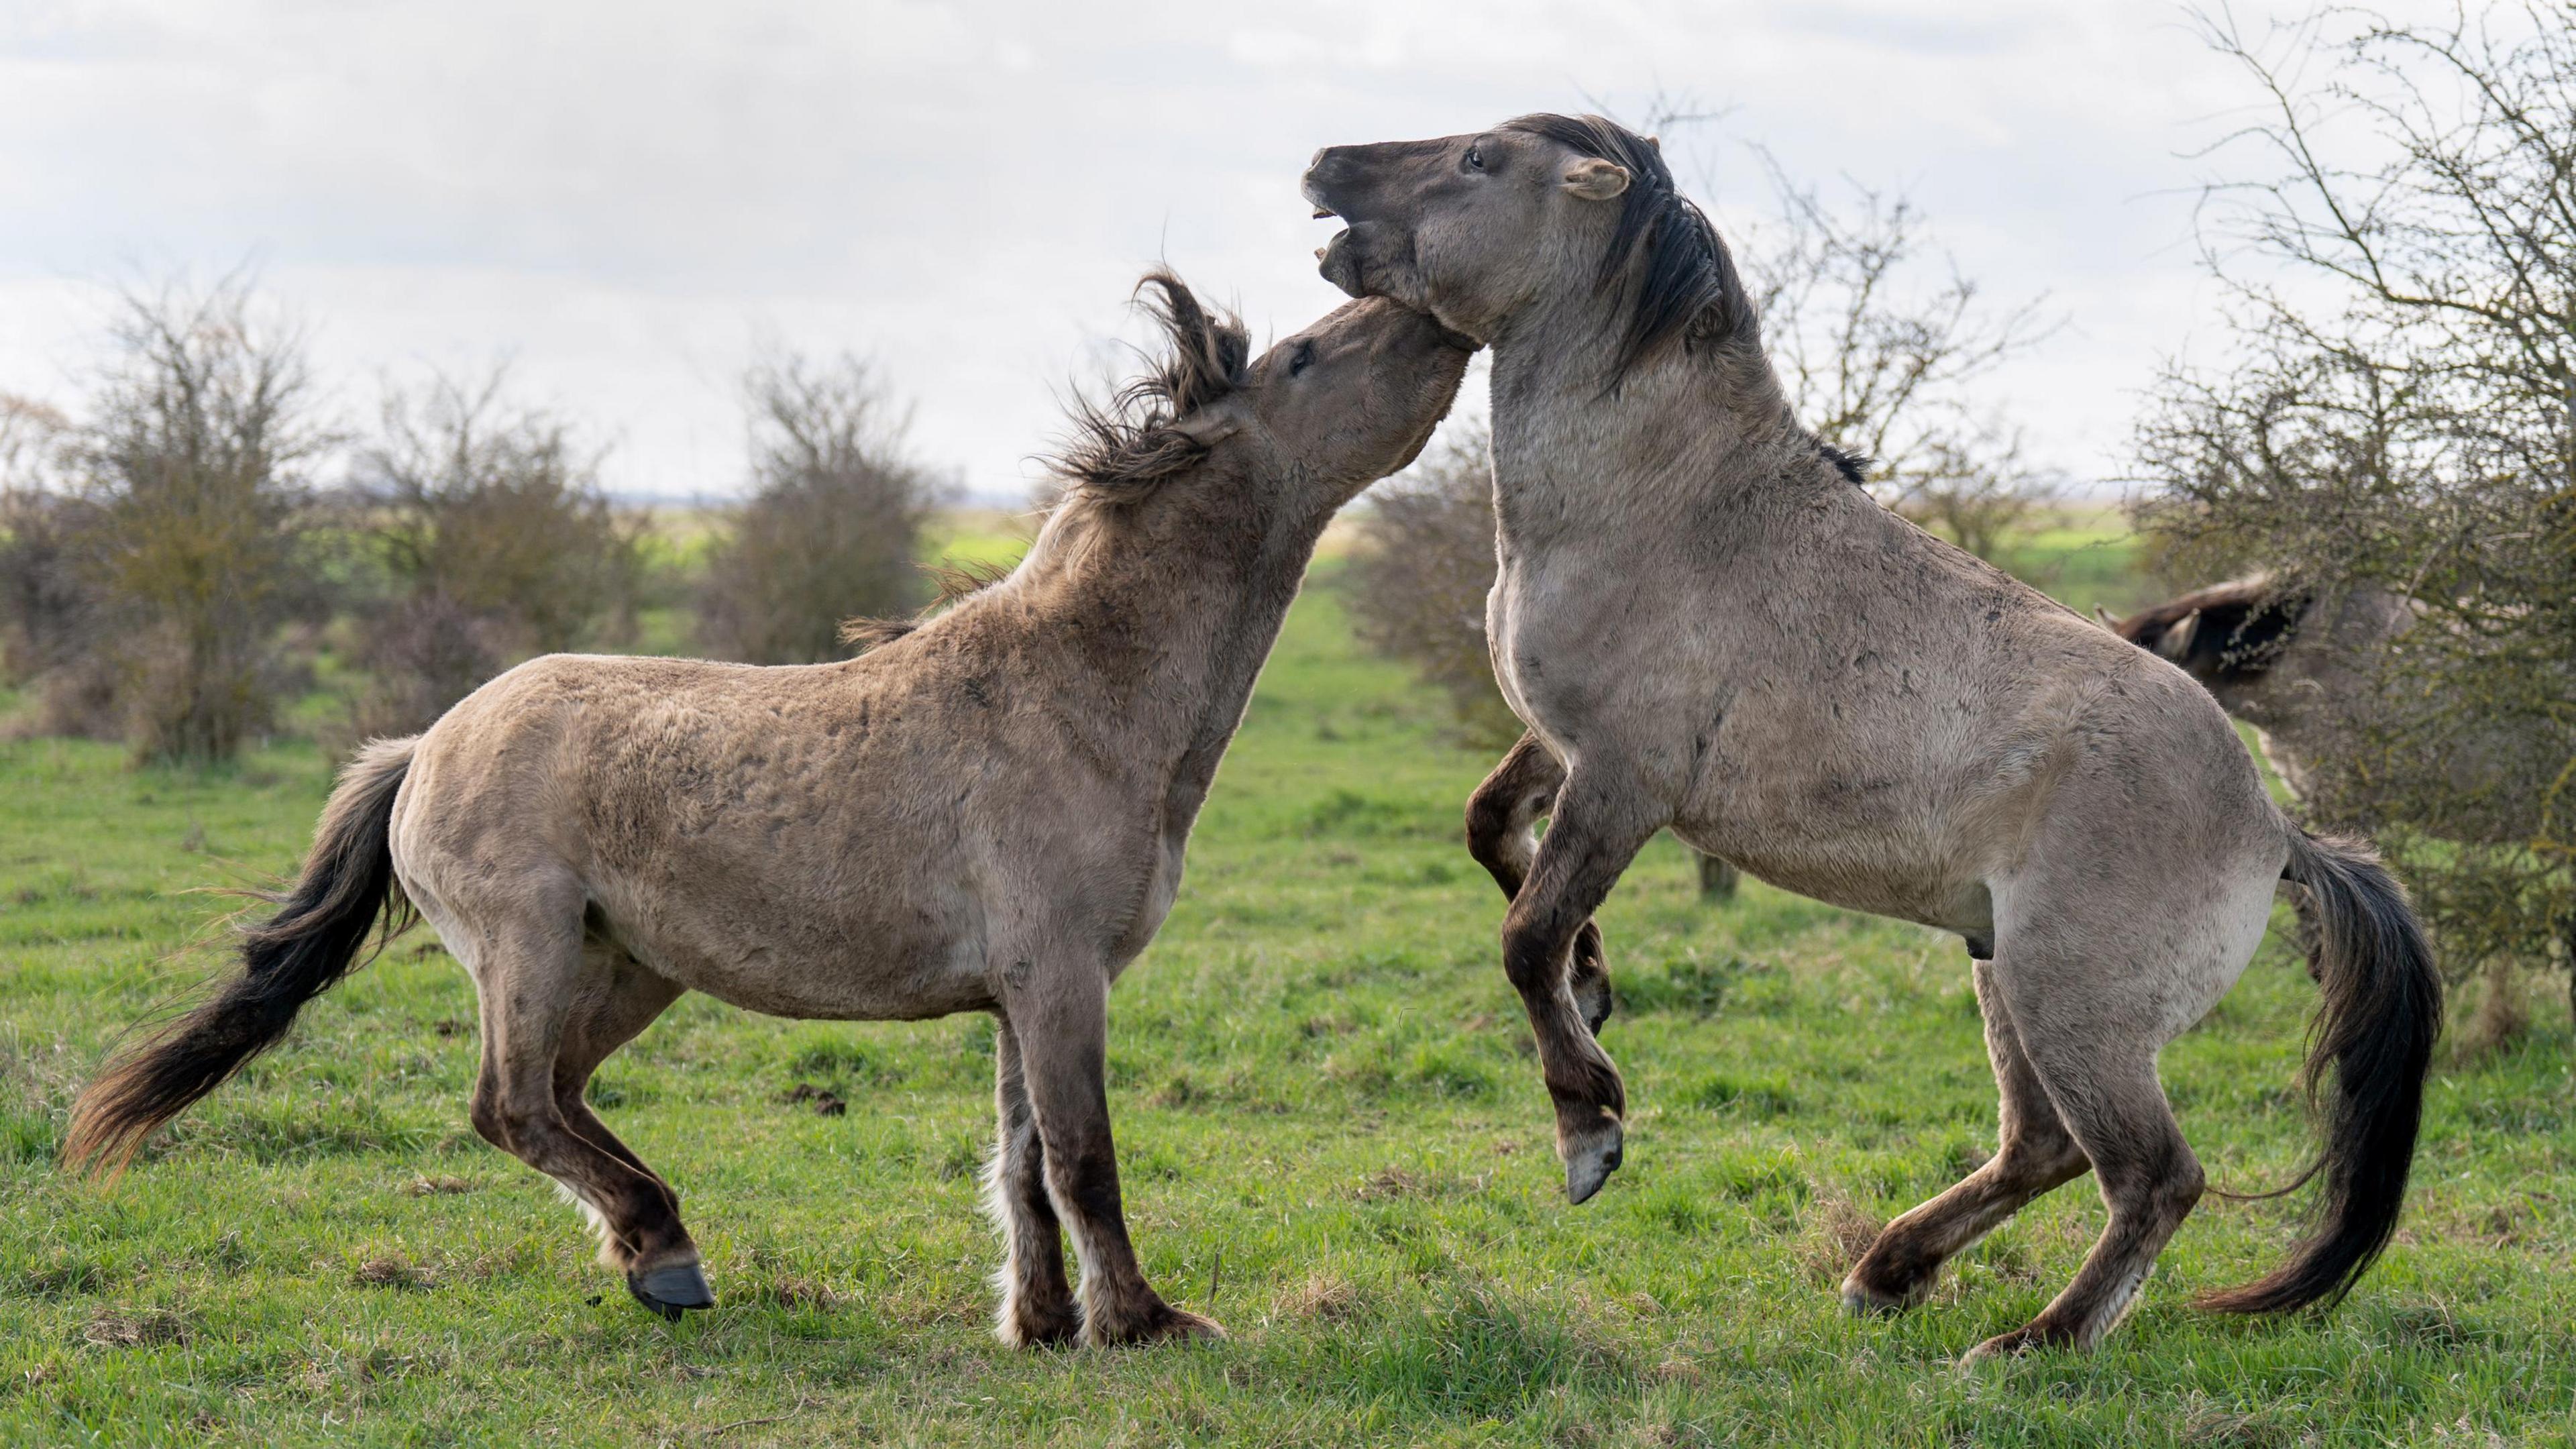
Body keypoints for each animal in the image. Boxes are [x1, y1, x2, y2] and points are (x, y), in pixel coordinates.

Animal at [65, 276, 1473, 1350]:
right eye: (1302, 357)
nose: (1434, 319)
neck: (1078, 690)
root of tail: (423, 747)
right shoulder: (1062, 976)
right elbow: (1084, 1157)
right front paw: (1141, 1325)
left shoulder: (1023, 993)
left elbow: (1023, 1166)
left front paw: (1041, 1324)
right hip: (528, 951)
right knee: (510, 1107)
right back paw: (668, 1253)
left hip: (625, 970)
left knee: (558, 1098)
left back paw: (655, 1252)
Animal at [1298, 113, 2442, 1350]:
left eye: (1477, 162)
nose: (1323, 166)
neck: (1668, 509)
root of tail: (2279, 834)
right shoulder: (1562, 751)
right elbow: (1494, 839)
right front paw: (1596, 992)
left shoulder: (1623, 781)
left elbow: (1524, 933)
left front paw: (1591, 1131)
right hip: (2006, 980)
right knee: (2043, 1149)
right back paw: (1889, 1273)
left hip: (2074, 1007)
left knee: (2152, 1174)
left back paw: (2032, 1343)